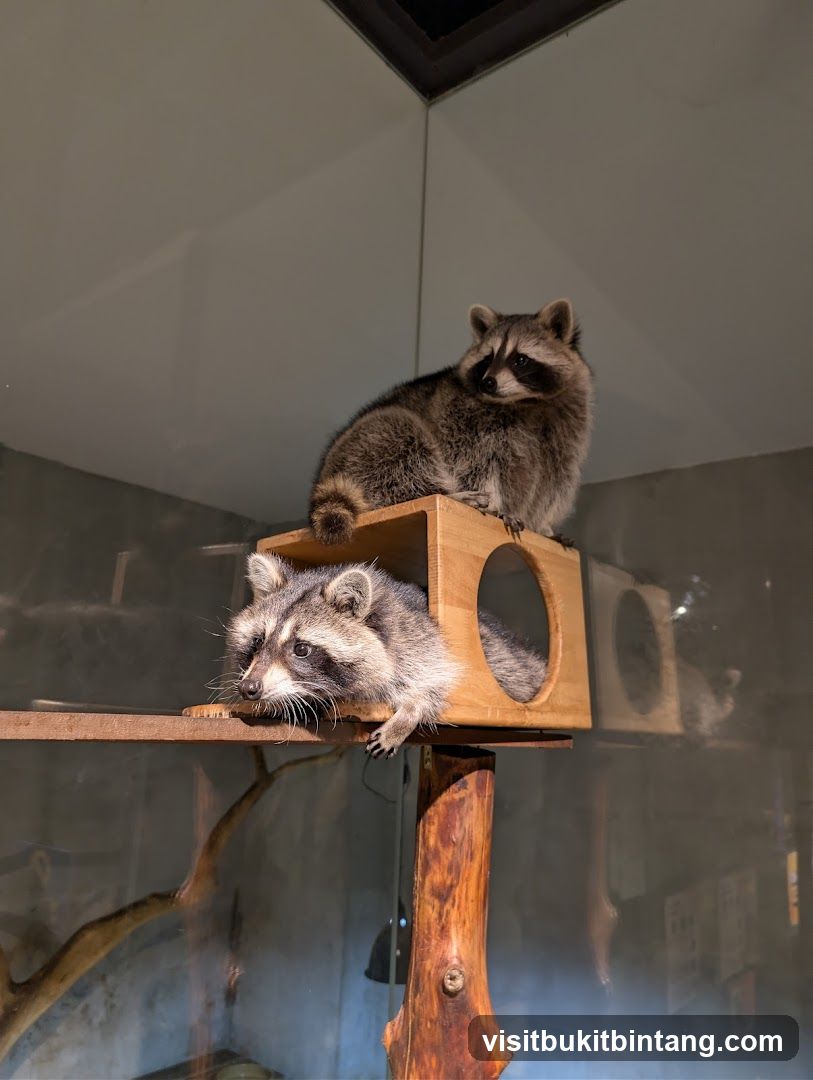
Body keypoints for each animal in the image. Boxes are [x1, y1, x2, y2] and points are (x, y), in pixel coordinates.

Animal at [226, 552, 547, 757]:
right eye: (258, 641)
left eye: (301, 649)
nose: (249, 688)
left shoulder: (419, 642)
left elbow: (436, 681)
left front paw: (411, 711)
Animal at [310, 299, 593, 545]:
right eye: (487, 359)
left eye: (520, 359)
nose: (488, 383)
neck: (526, 402)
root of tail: (324, 472)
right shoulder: (465, 420)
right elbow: (478, 463)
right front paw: (498, 505)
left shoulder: (567, 431)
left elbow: (556, 480)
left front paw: (543, 525)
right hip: (362, 444)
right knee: (399, 439)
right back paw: (443, 494)